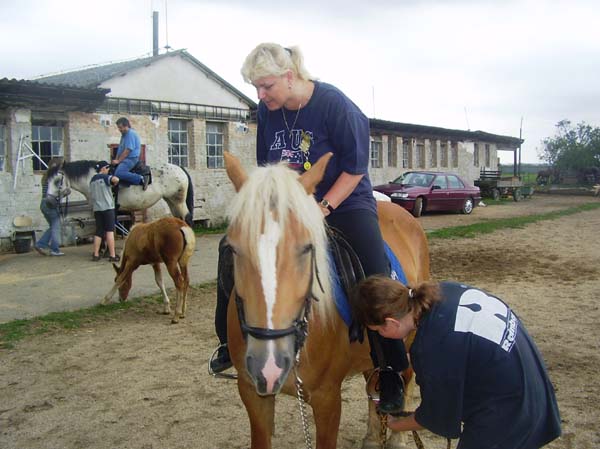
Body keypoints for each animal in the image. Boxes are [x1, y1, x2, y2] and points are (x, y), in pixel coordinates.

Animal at [45, 159, 195, 226]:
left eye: (57, 181)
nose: (49, 201)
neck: (94, 177)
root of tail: (179, 168)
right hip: (171, 200)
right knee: (179, 218)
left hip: (178, 200)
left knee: (187, 217)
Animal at [223, 152, 428, 446]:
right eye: (234, 248)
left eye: (307, 248)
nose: (269, 365)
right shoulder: (253, 393)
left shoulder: (327, 399)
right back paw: (371, 436)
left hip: (406, 340)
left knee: (406, 377)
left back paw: (397, 439)